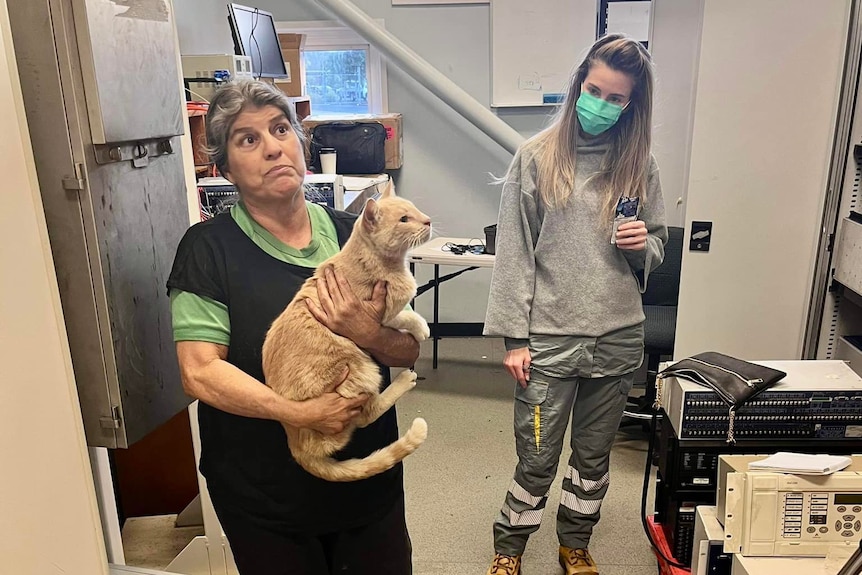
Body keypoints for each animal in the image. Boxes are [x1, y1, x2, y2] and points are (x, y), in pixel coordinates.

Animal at [258, 184, 430, 482]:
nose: (428, 221)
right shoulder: (383, 313)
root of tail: (295, 444)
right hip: (362, 369)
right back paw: (403, 381)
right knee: (365, 415)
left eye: (415, 210)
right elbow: (405, 316)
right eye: (404, 219)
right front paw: (422, 328)